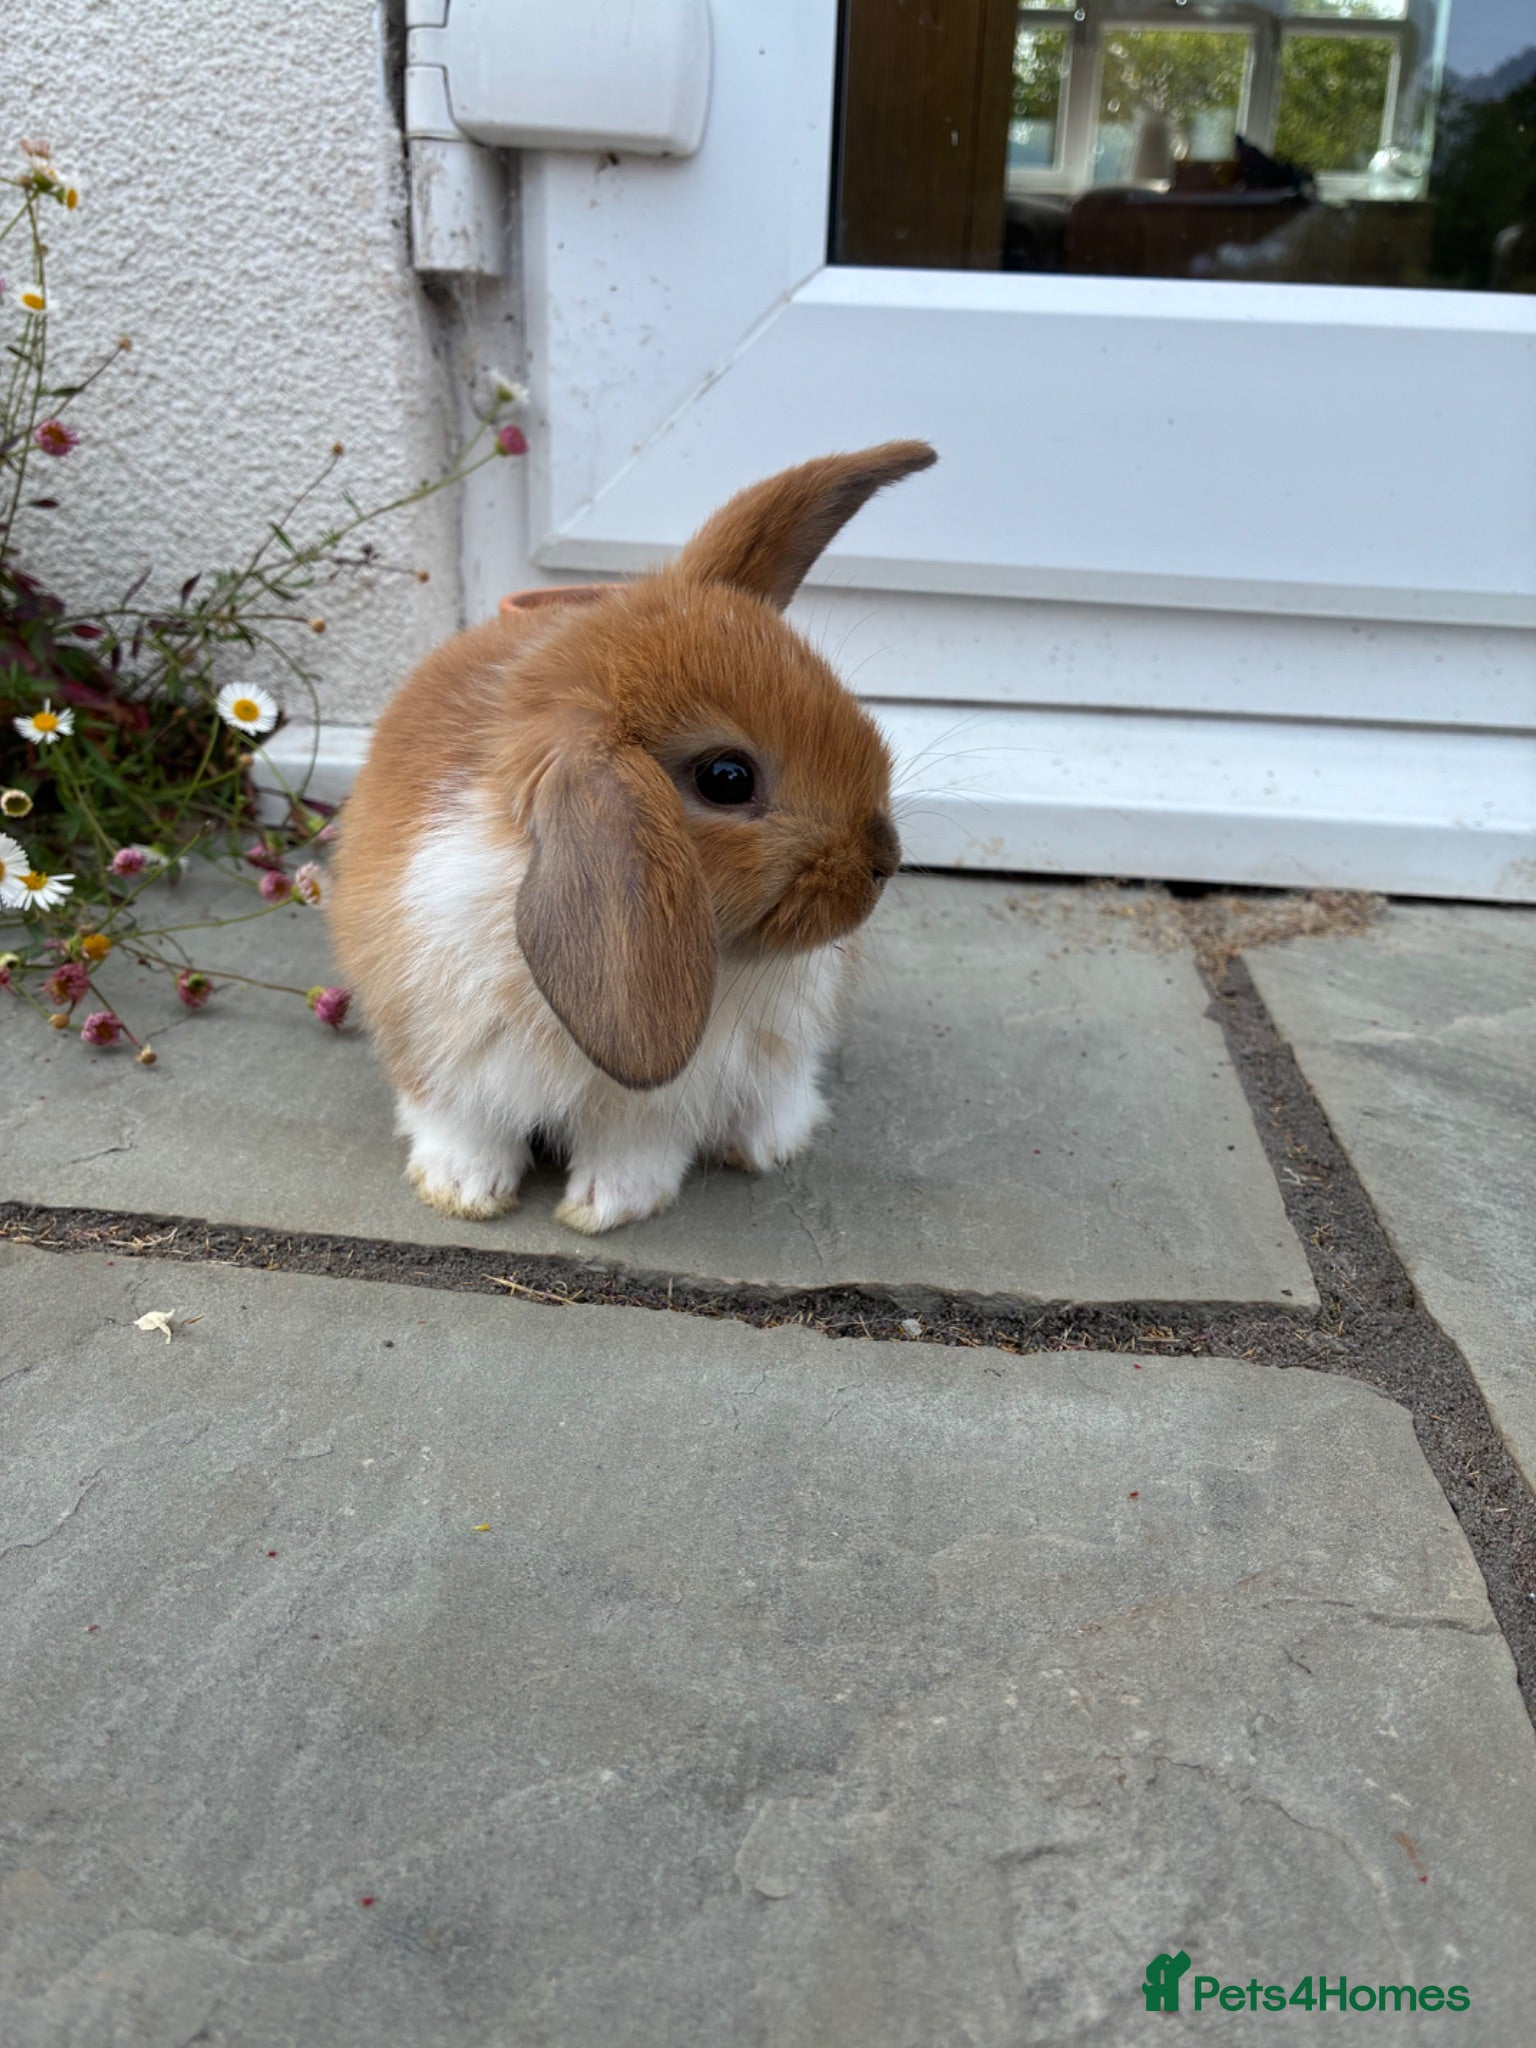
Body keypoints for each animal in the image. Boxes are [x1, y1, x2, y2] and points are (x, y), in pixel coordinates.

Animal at [328, 440, 936, 1234]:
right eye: (727, 778)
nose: (882, 861)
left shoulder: (658, 1105)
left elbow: (635, 1148)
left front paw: (607, 1206)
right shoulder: (441, 1053)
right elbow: (463, 1124)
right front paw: (462, 1190)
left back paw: (767, 1142)